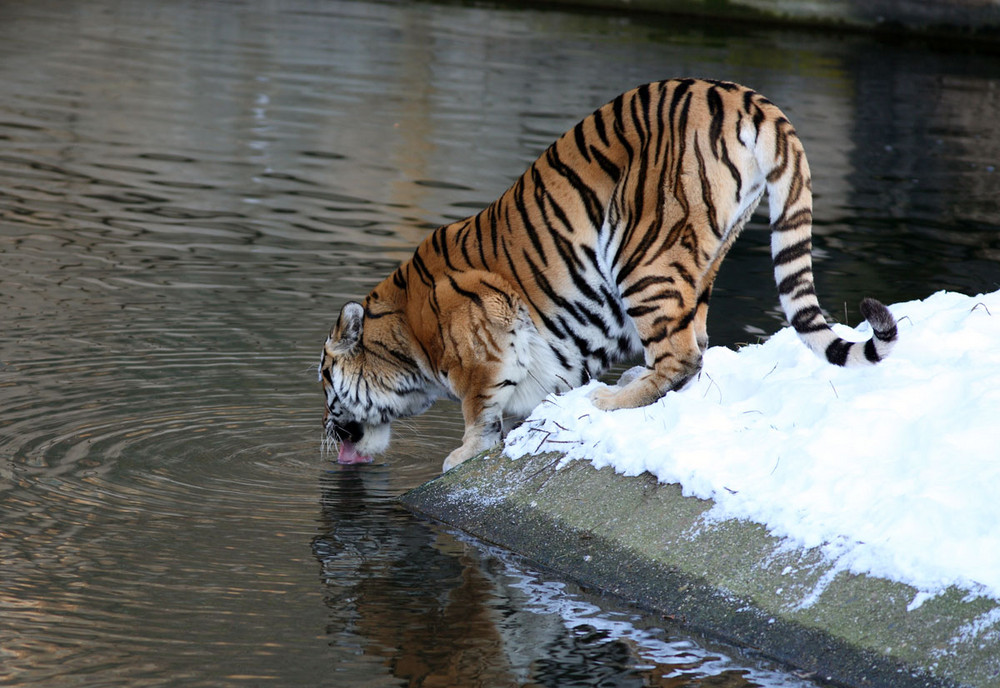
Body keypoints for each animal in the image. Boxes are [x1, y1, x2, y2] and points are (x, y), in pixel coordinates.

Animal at [320, 76, 900, 472]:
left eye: (325, 381)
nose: (325, 434)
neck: (407, 335)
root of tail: (743, 96)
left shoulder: (483, 326)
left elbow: (479, 404)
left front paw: (462, 454)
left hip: (640, 252)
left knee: (683, 354)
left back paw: (609, 400)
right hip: (706, 255)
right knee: (697, 343)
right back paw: (630, 381)